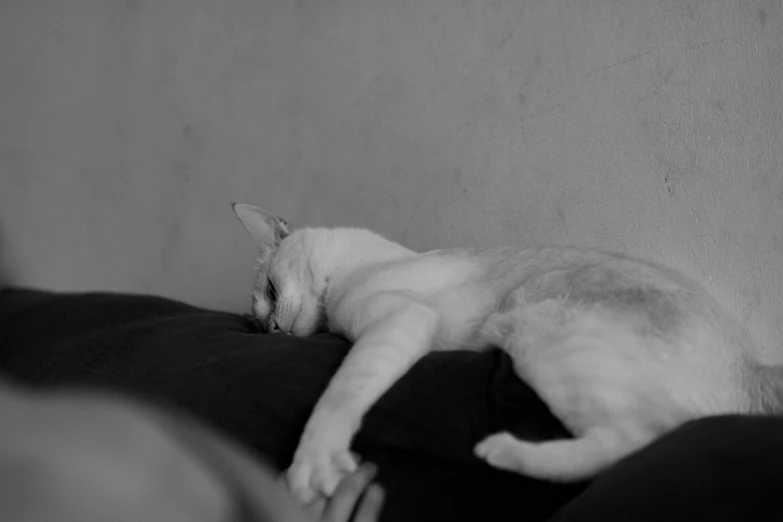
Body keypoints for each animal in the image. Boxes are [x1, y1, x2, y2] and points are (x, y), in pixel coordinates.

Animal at [233, 202, 783, 500]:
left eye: (272, 293)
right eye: (259, 324)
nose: (274, 330)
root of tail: (755, 369)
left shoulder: (398, 321)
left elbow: (336, 399)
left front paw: (308, 473)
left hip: (536, 331)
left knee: (641, 437)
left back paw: (501, 451)